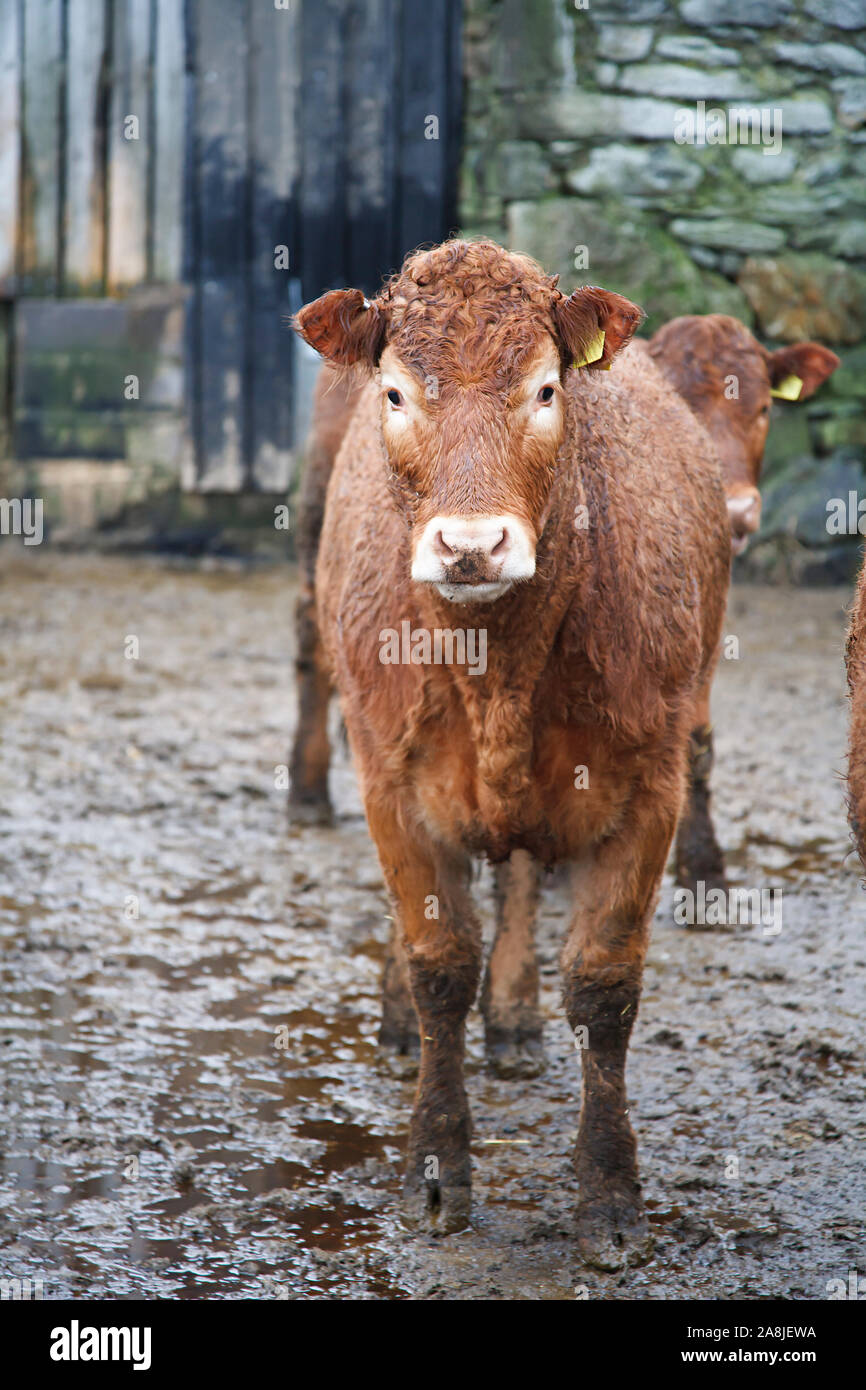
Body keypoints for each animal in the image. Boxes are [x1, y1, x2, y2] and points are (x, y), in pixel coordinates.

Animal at [293, 241, 733, 1273]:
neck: (496, 662)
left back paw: (518, 1017)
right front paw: (435, 1170)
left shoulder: (649, 785)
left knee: (524, 878)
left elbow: (605, 987)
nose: (470, 545)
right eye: (395, 392)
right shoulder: (388, 778)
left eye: (543, 389)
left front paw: (610, 1197)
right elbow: (437, 959)